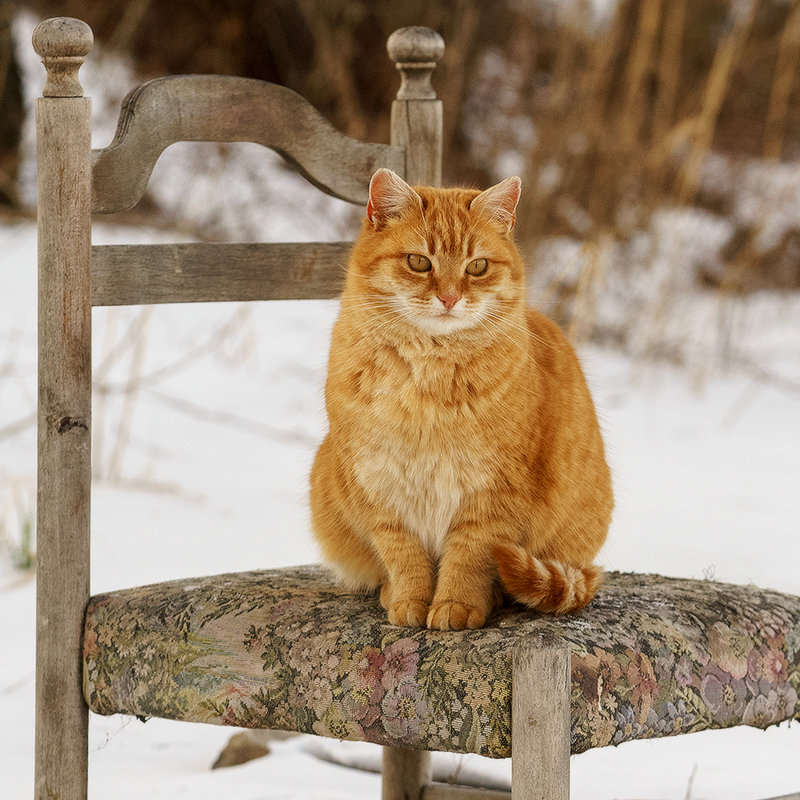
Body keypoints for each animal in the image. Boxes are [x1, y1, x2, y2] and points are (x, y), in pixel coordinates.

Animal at [310, 169, 608, 632]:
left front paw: (456, 605)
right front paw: (410, 600)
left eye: (478, 266)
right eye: (419, 262)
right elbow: (403, 554)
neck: (426, 379)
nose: (449, 298)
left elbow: (470, 556)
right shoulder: (379, 487)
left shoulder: (492, 496)